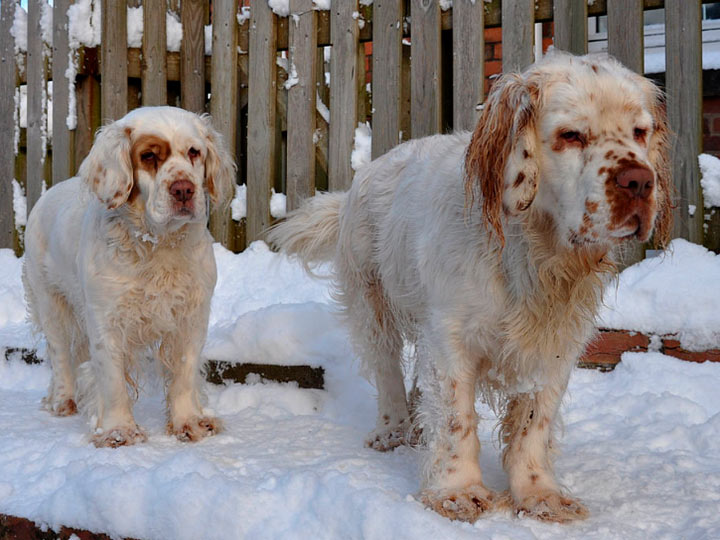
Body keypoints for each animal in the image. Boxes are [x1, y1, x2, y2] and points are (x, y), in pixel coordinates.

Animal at [23, 106, 235, 448]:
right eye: (148, 156)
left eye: (194, 152)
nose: (184, 190)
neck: (158, 244)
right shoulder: (105, 319)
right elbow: (112, 381)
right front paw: (118, 431)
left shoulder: (191, 316)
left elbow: (184, 373)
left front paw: (189, 422)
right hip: (50, 303)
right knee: (60, 356)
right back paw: (62, 400)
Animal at [268, 52, 672, 522]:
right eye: (571, 135)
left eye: (640, 132)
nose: (639, 181)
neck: (531, 253)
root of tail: (360, 177)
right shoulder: (450, 338)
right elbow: (455, 418)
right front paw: (456, 491)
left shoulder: (555, 342)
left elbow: (534, 421)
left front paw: (539, 495)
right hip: (374, 305)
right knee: (387, 371)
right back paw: (393, 431)